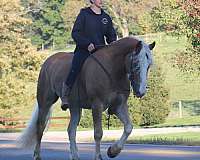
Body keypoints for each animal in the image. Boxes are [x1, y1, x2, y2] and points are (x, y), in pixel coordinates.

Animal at [17, 36, 155, 160]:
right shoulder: (97, 105)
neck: (112, 70)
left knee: (71, 130)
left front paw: (113, 151)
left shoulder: (118, 107)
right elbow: (98, 133)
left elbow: (128, 127)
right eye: (136, 63)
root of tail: (48, 61)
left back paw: (75, 155)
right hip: (45, 102)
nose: (141, 91)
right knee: (40, 127)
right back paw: (37, 155)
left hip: (75, 107)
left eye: (149, 65)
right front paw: (98, 156)